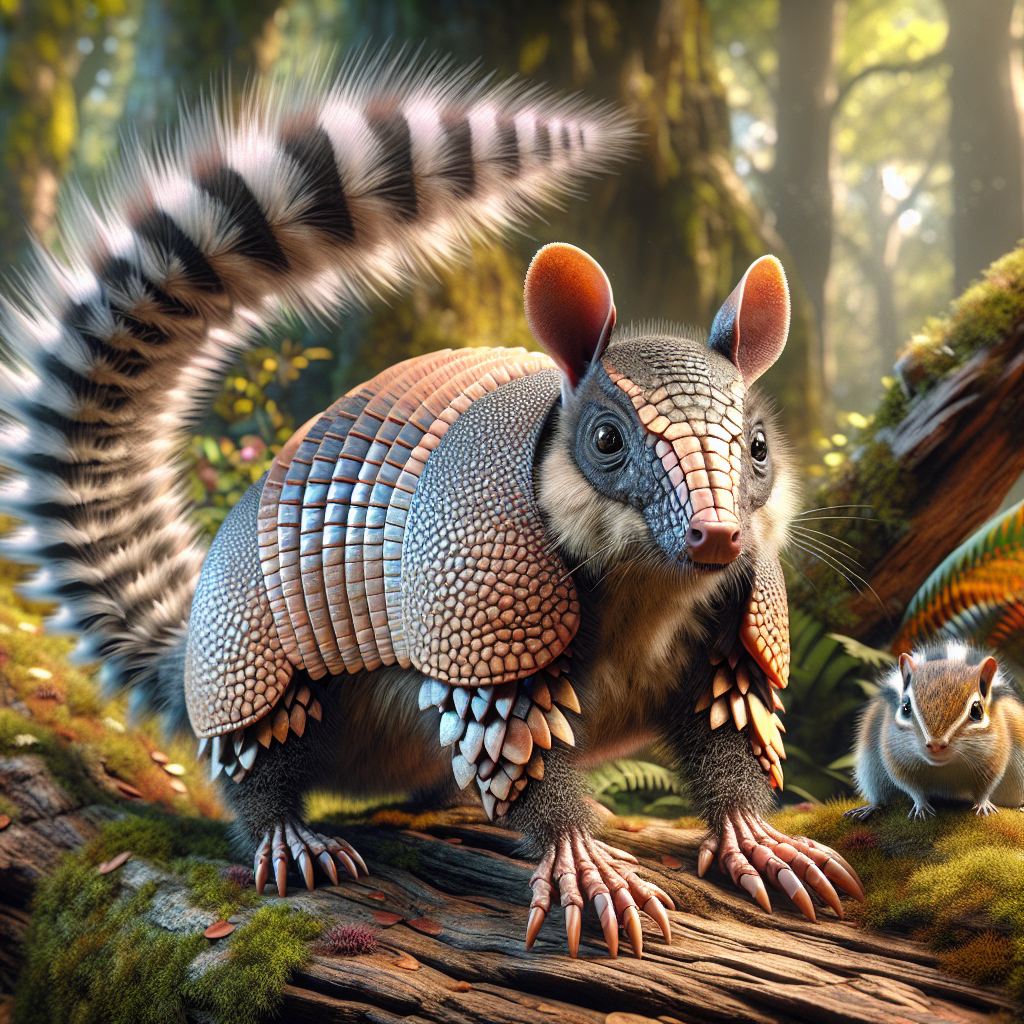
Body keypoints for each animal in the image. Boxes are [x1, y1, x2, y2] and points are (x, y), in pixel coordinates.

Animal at [0, 51, 863, 959]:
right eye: (605, 440)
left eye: (759, 445)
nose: (717, 537)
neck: (647, 589)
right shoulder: (479, 627)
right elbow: (514, 747)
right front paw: (586, 866)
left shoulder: (737, 622)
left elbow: (730, 722)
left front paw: (759, 843)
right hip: (247, 659)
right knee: (257, 756)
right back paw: (295, 843)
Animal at [847, 644, 1024, 820]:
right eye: (905, 708)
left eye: (976, 710)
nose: (936, 745)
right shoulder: (897, 760)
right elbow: (912, 788)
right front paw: (921, 807)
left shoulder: (993, 760)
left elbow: (985, 788)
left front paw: (983, 805)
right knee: (881, 797)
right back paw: (871, 808)